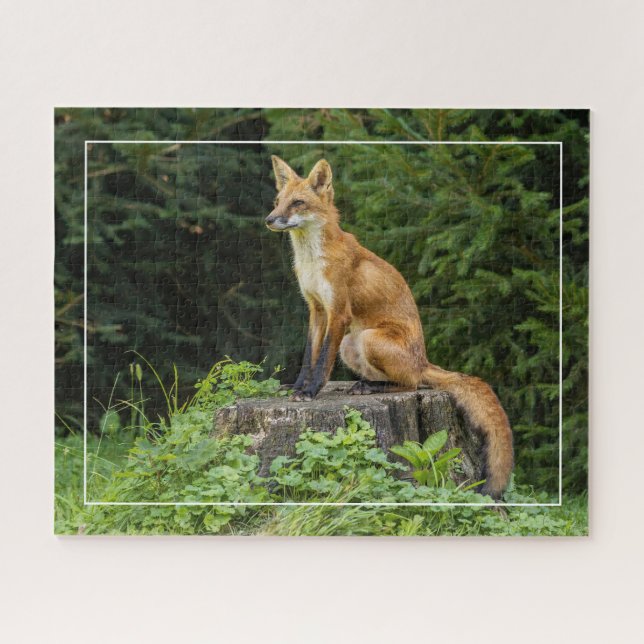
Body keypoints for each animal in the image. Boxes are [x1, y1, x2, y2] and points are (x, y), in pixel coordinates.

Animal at [265, 155, 513, 498]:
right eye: (278, 201)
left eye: (298, 203)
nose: (269, 219)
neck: (313, 262)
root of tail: (424, 360)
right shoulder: (316, 311)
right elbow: (308, 358)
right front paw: (298, 387)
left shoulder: (338, 313)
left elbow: (323, 360)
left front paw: (312, 391)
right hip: (351, 345)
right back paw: (364, 385)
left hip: (368, 338)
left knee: (413, 383)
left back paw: (371, 388)